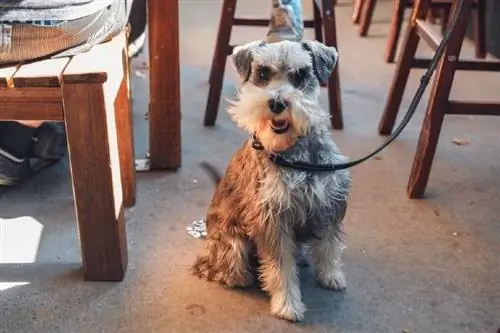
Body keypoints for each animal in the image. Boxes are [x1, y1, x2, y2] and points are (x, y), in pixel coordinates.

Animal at [191, 39, 352, 322]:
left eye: (300, 74)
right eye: (263, 73)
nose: (277, 103)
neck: (294, 153)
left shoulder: (329, 204)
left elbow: (329, 245)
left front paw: (331, 275)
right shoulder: (272, 220)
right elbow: (280, 267)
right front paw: (287, 304)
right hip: (231, 242)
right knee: (220, 264)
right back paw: (237, 277)